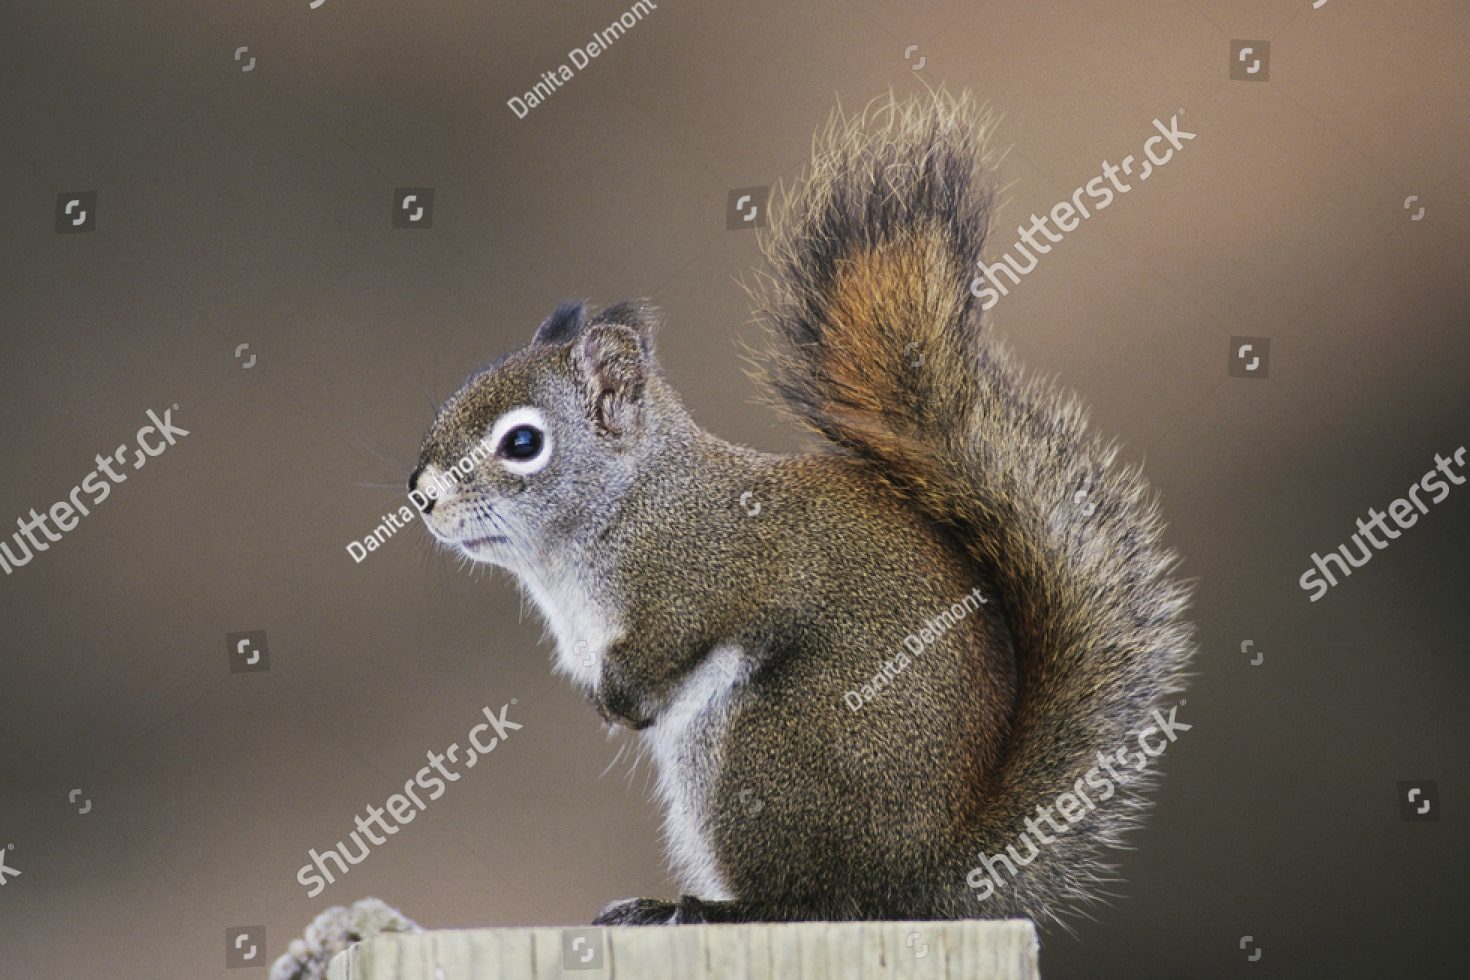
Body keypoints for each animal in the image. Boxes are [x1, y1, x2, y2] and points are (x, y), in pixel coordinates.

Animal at [403, 89, 1195, 930]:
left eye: (522, 443)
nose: (421, 494)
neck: (622, 508)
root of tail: (928, 880)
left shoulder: (697, 575)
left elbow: (667, 642)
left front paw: (620, 701)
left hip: (769, 751)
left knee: (810, 900)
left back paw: (703, 909)